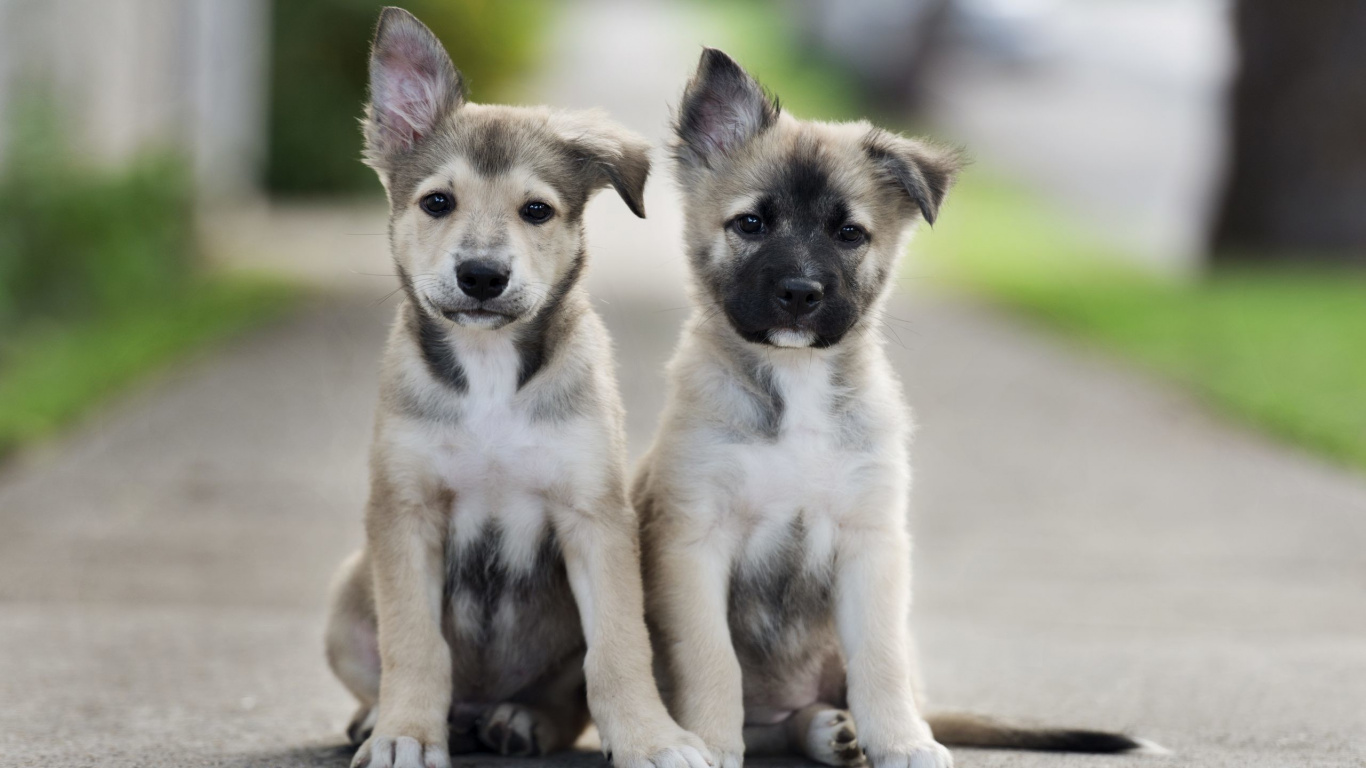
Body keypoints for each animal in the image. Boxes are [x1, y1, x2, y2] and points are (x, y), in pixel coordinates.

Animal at [327, 10, 715, 765]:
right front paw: (404, 734)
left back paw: (521, 719)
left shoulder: (594, 515)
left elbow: (617, 650)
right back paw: (383, 717)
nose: (481, 276)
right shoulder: (405, 512)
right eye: (437, 202)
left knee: (564, 698)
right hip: (346, 591)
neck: (490, 375)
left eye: (536, 210)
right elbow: (414, 643)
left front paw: (652, 739)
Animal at [633, 49, 1158, 768]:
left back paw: (841, 730)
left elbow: (880, 661)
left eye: (850, 234)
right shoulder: (694, 539)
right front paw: (709, 745)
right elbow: (711, 661)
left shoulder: (871, 543)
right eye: (751, 223)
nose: (800, 293)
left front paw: (903, 742)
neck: (796, 388)